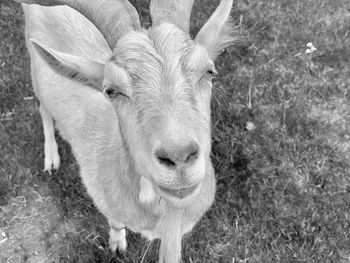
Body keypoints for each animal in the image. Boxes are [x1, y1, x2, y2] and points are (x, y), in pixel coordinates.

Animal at [11, 0, 235, 262]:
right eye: (111, 90)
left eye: (209, 72)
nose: (179, 158)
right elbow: (116, 223)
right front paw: (117, 243)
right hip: (35, 69)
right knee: (43, 108)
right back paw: (51, 158)